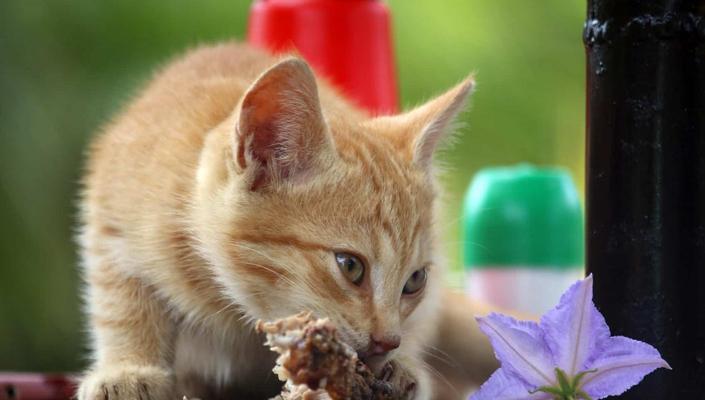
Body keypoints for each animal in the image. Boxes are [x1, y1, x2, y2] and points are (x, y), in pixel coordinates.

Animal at [77, 42, 496, 398]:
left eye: (414, 281)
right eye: (350, 266)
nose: (387, 342)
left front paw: (403, 369)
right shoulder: (110, 220)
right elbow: (121, 303)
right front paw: (128, 370)